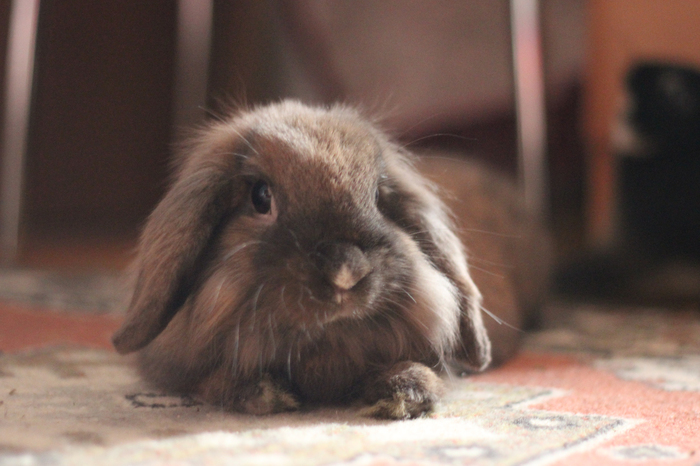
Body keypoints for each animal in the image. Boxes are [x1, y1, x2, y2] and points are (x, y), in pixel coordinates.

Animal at [112, 100, 548, 420]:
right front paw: (264, 393)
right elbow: (210, 382)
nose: (346, 272)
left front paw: (404, 393)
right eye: (260, 197)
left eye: (379, 198)